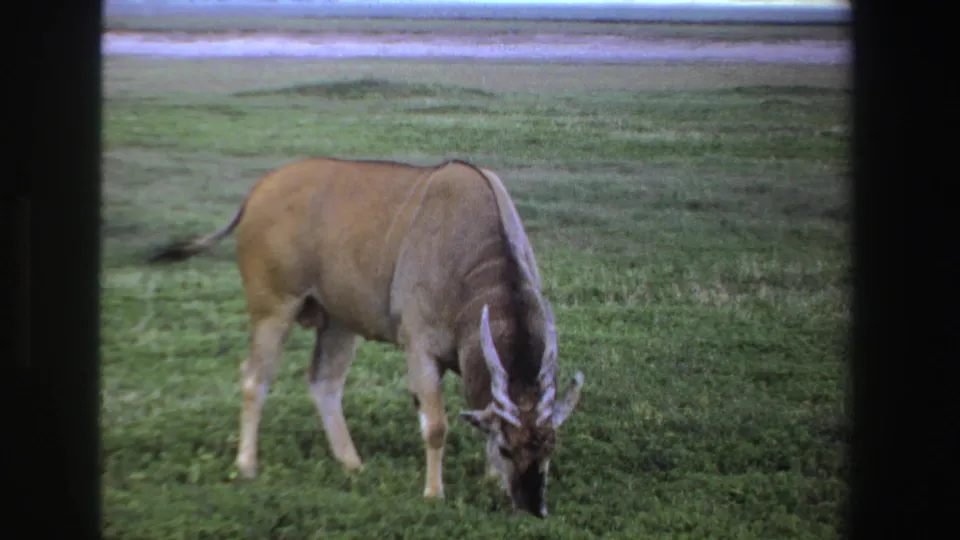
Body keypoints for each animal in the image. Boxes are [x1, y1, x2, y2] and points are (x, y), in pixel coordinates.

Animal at [148, 157, 585, 517]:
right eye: (510, 448)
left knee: (323, 382)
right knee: (255, 377)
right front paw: (433, 493)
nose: (534, 507)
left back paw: (352, 464)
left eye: (550, 446)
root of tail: (259, 190)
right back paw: (247, 466)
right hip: (274, 309)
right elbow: (436, 426)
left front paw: (491, 479)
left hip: (338, 322)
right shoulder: (419, 348)